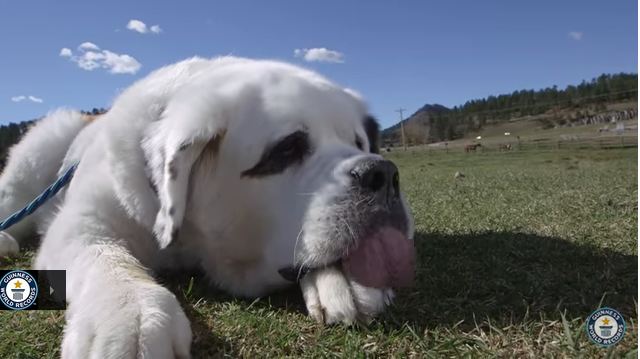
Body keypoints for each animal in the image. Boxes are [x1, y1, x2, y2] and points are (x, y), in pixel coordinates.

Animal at [0, 57, 416, 358]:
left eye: (359, 144)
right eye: (287, 149)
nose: (381, 173)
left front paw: (343, 279)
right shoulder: (82, 223)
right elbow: (104, 257)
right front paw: (131, 318)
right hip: (37, 156)